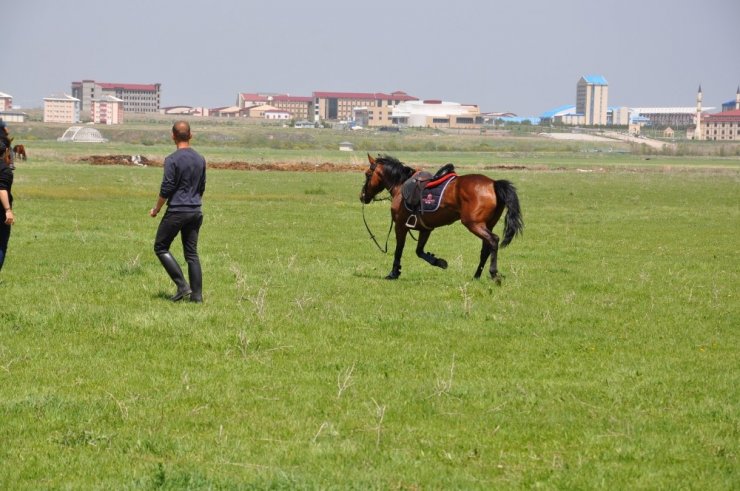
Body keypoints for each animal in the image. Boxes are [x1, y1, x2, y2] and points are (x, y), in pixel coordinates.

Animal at [356, 156, 520, 282]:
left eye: (367, 174)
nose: (362, 196)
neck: (401, 186)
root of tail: (493, 183)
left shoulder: (400, 226)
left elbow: (399, 250)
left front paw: (393, 273)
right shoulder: (425, 229)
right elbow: (419, 251)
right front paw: (439, 262)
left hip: (474, 224)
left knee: (493, 241)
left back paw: (493, 273)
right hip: (487, 225)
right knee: (486, 248)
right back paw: (476, 276)